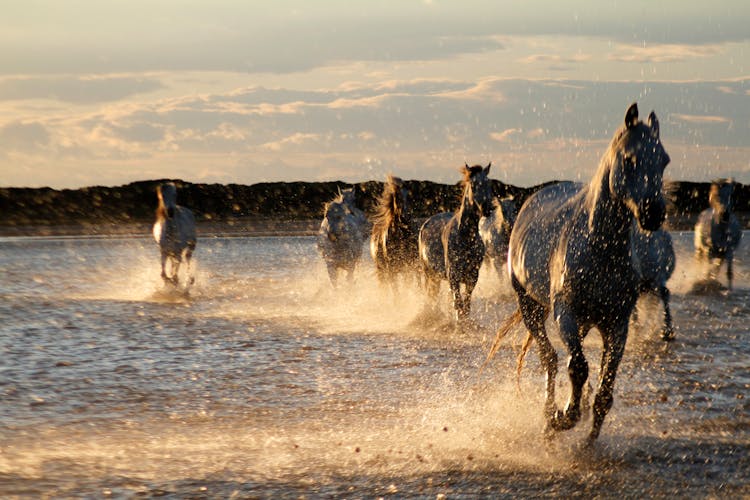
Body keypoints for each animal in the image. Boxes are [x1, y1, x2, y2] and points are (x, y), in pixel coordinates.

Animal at [420, 163, 496, 320]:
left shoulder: (472, 276)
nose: (488, 208)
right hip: (428, 273)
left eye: (489, 183)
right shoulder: (453, 276)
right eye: (473, 185)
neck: (465, 237)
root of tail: (426, 223)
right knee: (431, 296)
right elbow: (458, 305)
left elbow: (465, 306)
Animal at [490, 103, 672, 444]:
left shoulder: (617, 323)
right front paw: (563, 417)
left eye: (664, 160)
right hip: (532, 308)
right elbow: (577, 367)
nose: (653, 213)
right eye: (630, 159)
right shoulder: (566, 313)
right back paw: (550, 414)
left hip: (584, 322)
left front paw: (589, 437)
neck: (598, 247)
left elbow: (605, 386)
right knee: (550, 359)